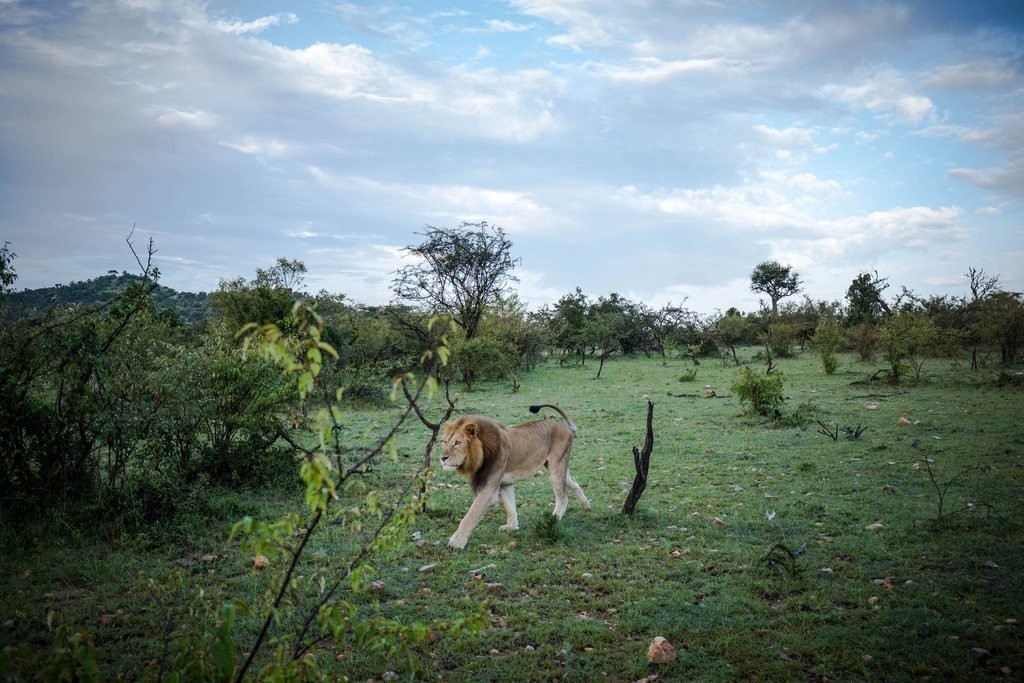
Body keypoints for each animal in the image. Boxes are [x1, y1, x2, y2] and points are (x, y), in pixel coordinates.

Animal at [440, 404, 590, 549]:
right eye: (444, 442)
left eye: (457, 443)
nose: (442, 458)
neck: (480, 454)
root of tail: (564, 426)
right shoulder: (504, 483)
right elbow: (509, 506)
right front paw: (512, 527)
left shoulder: (488, 490)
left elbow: (470, 515)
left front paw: (456, 542)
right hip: (557, 465)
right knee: (573, 482)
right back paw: (586, 504)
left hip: (555, 467)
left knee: (563, 497)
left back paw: (553, 520)